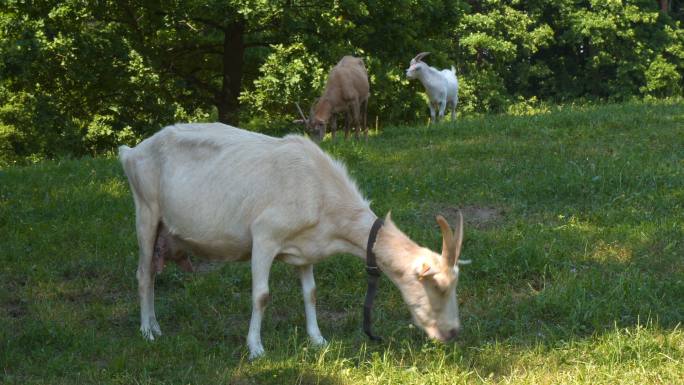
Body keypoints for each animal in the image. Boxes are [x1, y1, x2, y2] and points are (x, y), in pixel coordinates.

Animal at [119, 122, 470, 356]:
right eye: (437, 286)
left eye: (454, 284)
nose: (453, 332)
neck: (321, 193)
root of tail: (131, 151)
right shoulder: (264, 236)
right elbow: (261, 295)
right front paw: (256, 348)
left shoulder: (305, 249)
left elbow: (310, 294)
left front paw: (318, 339)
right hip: (146, 211)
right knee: (143, 274)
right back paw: (148, 331)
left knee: (152, 272)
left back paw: (156, 326)